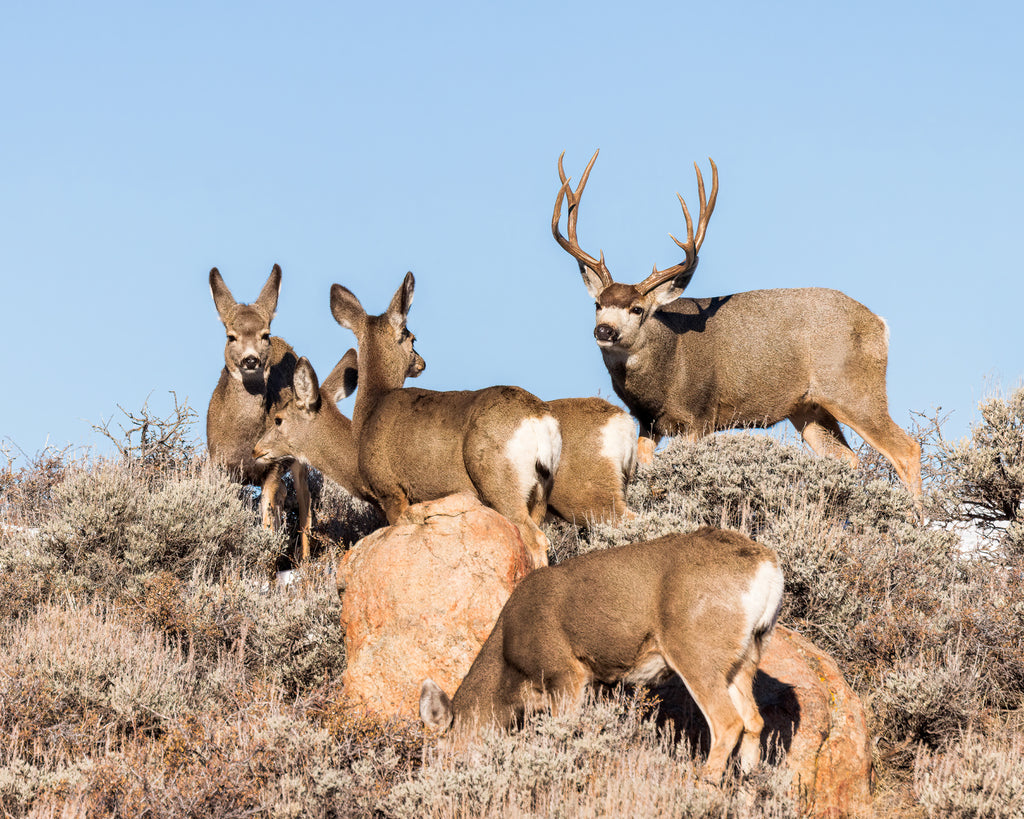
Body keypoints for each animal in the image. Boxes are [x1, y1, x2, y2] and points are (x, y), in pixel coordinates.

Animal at [202, 266, 307, 561]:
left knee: (303, 505)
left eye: (264, 334)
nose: (251, 359)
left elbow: (267, 519)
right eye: (231, 336)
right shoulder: (220, 464)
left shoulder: (273, 465)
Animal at [329, 272, 561, 565]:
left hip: (498, 479)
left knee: (535, 538)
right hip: (541, 490)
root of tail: (537, 418)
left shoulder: (391, 489)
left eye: (413, 337)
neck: (372, 409)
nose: (422, 363)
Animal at [419, 528, 786, 778]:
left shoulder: (564, 672)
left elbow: (563, 734)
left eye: (438, 755)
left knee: (728, 722)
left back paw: (704, 784)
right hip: (745, 656)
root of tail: (768, 568)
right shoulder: (593, 682)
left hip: (696, 648)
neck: (510, 668)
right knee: (754, 720)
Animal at [557, 150, 925, 501]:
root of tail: (879, 323)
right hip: (808, 407)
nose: (604, 331)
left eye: (637, 309)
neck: (666, 370)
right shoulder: (648, 422)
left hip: (852, 388)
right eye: (597, 304)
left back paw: (917, 518)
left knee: (906, 448)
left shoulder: (699, 414)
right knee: (845, 458)